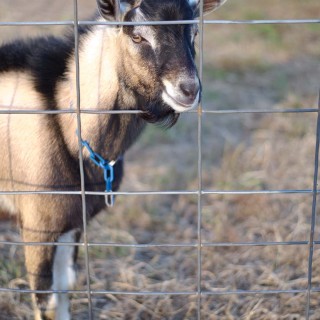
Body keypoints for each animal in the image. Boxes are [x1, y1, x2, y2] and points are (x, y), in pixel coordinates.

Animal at [0, 1, 228, 318]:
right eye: (137, 36)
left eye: (194, 32)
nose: (188, 89)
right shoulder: (38, 224)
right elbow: (45, 300)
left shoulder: (70, 221)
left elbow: (64, 286)